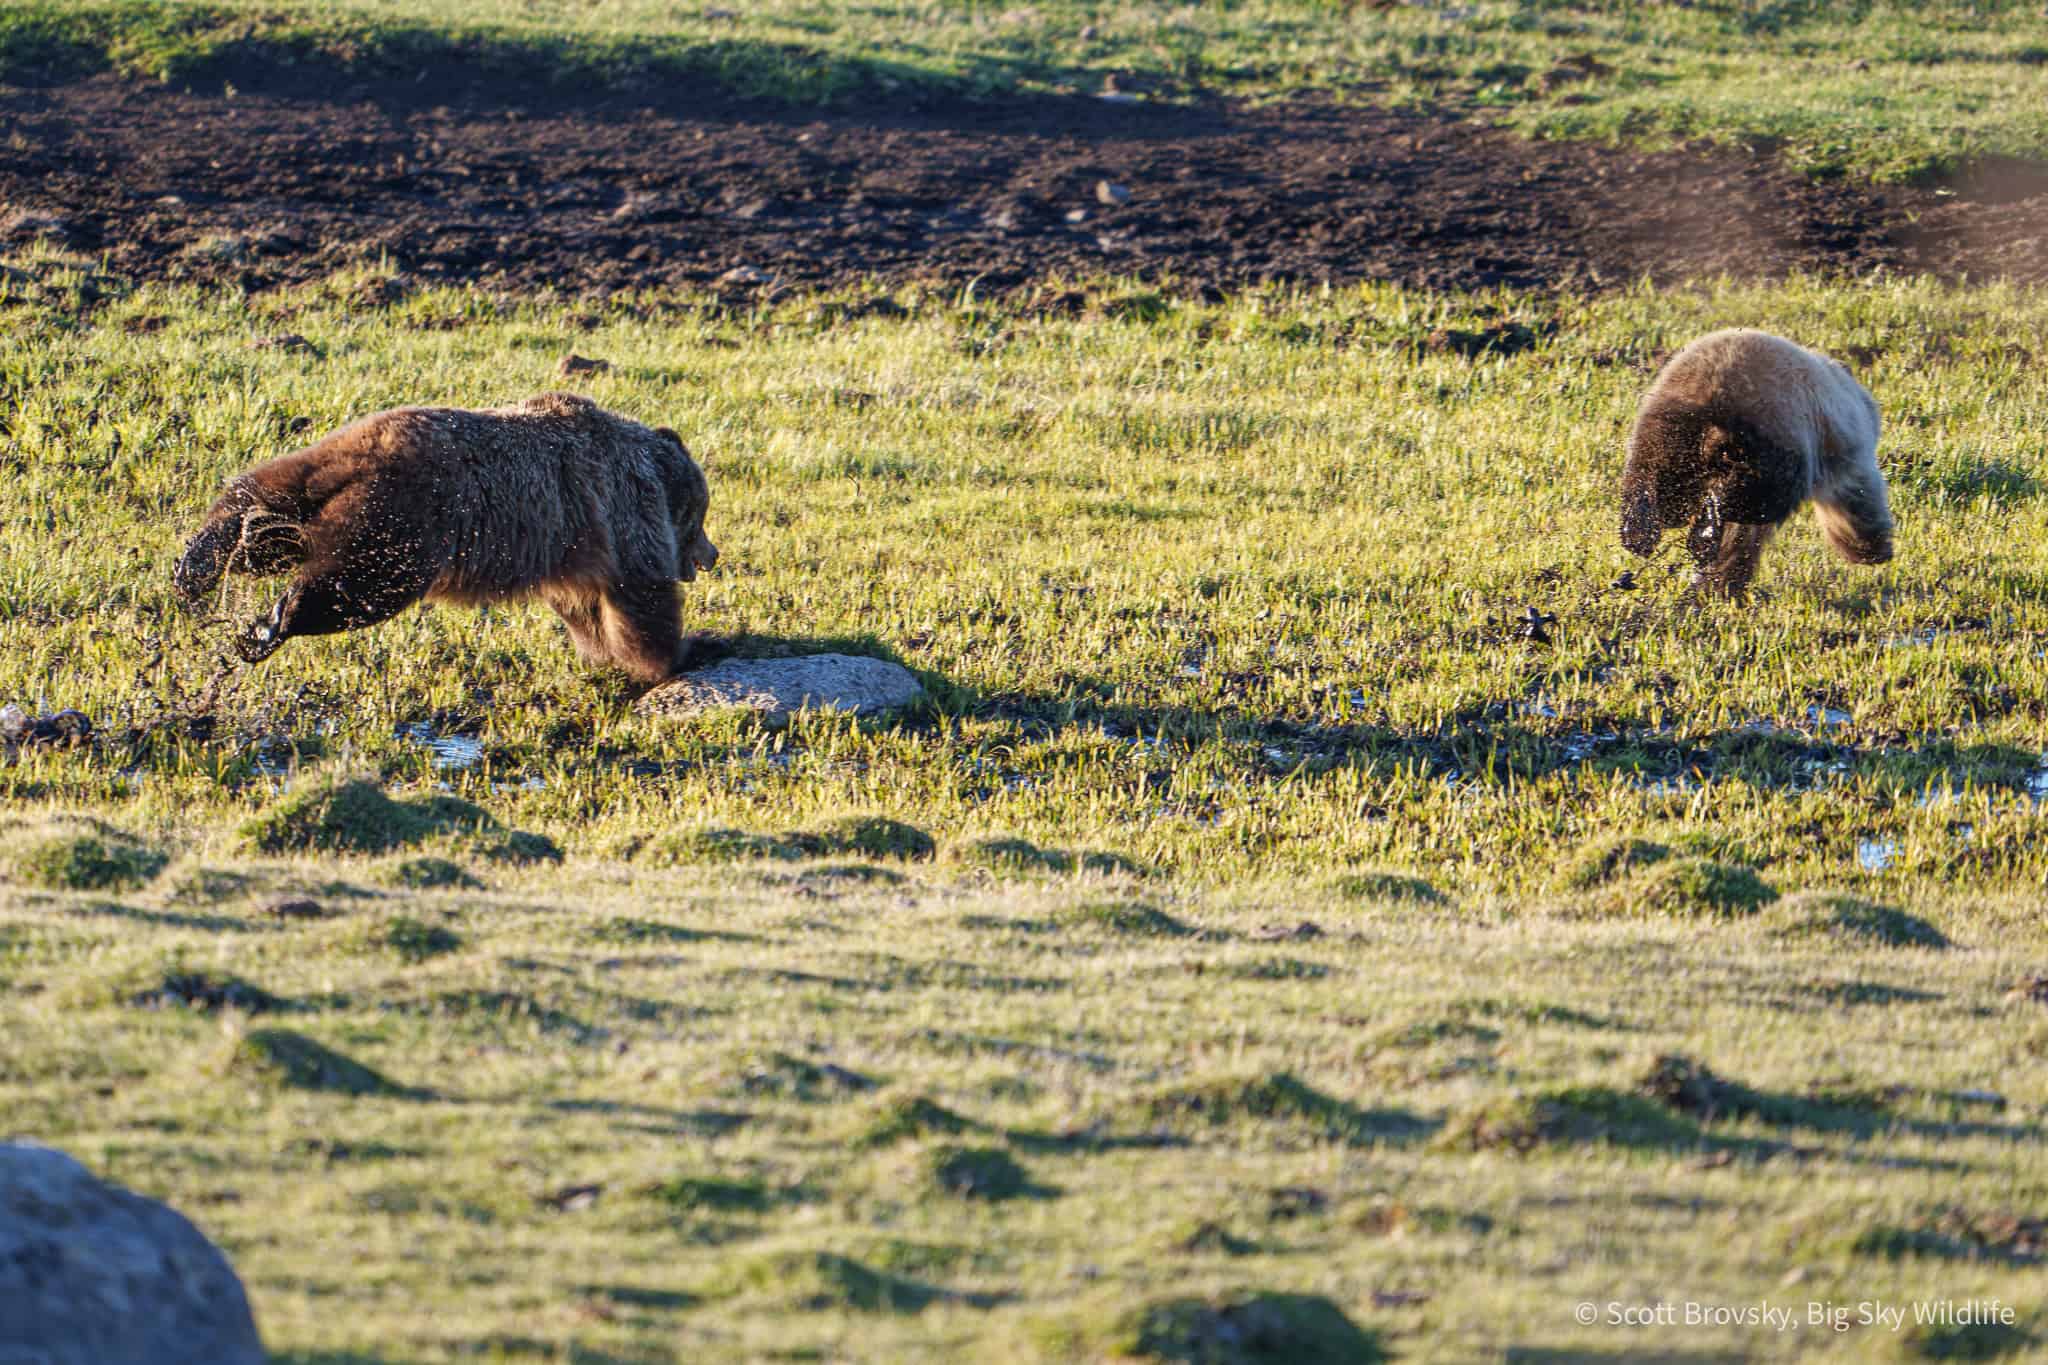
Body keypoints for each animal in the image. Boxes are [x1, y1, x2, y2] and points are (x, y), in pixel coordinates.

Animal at [173, 392, 718, 681]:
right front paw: (680, 651)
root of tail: (365, 458)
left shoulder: (572, 547)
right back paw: (271, 623)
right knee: (352, 588)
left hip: (322, 467)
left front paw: (605, 651)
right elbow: (640, 599)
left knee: (256, 501)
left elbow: (586, 609)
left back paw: (200, 564)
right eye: (702, 514)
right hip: (409, 525)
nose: (710, 555)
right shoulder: (624, 510)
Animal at [1619, 328, 1893, 597]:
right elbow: (1856, 496)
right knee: (1757, 496)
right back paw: (1703, 532)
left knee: (1654, 481)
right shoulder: (1840, 443)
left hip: (1670, 428)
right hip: (1777, 434)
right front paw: (1871, 548)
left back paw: (1640, 532)